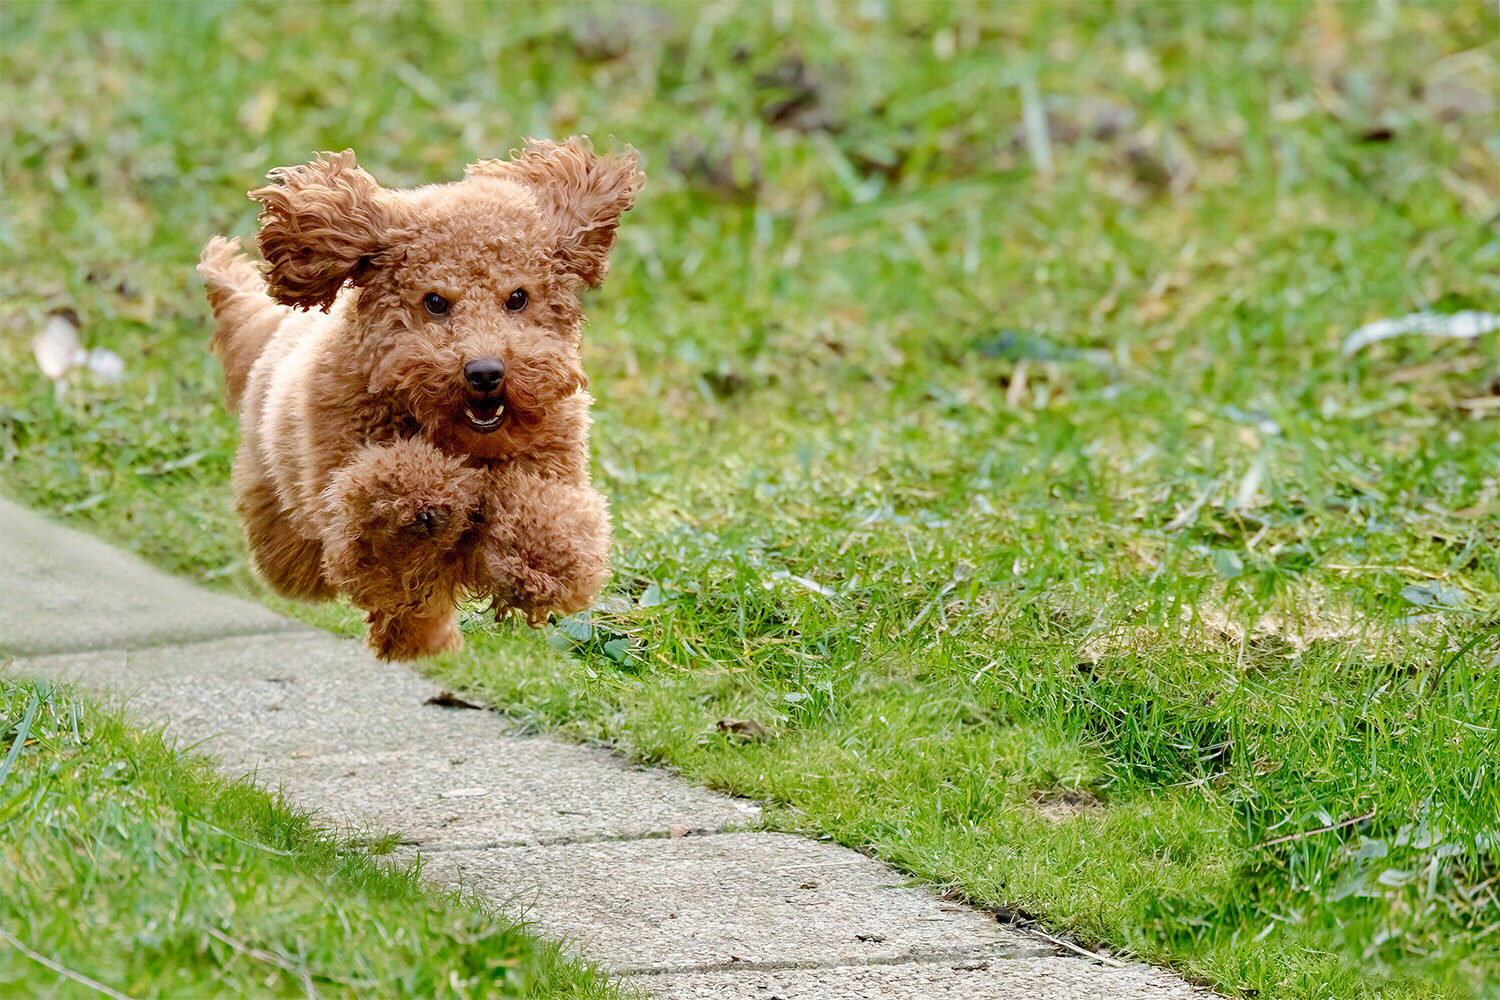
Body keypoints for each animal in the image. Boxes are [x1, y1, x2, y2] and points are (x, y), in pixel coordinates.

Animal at [196, 138, 642, 656]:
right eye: (434, 301)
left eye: (517, 297)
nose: (485, 372)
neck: (465, 443)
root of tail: (273, 329)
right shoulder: (351, 520)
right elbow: (384, 511)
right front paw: (425, 500)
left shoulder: (554, 467)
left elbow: (556, 520)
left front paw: (537, 565)